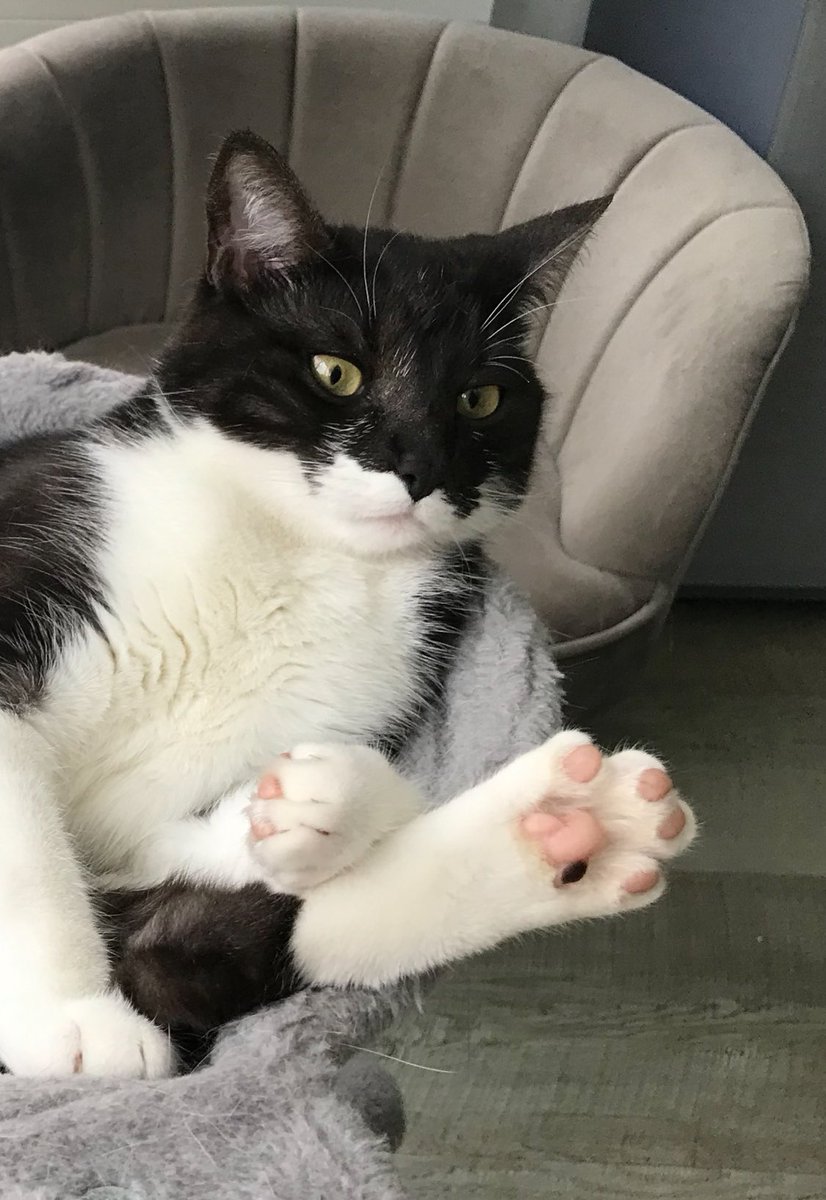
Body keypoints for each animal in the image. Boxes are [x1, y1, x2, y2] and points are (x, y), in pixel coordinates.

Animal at [0, 131, 696, 1080]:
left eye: (480, 397)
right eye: (337, 371)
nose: (421, 465)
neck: (294, 556)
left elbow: (196, 917)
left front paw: (316, 806)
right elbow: (32, 844)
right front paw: (72, 1017)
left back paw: (571, 830)